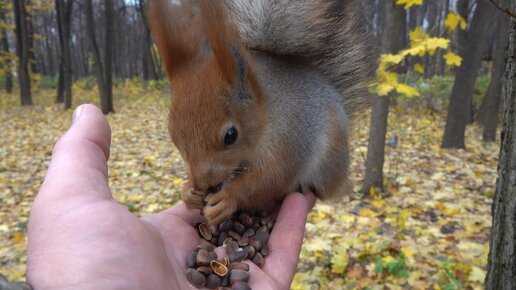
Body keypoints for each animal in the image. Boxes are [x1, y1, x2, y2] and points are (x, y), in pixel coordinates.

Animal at [147, 0, 376, 224]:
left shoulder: (292, 137)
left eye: (231, 136)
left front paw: (228, 197)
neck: (266, 112)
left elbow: (273, 177)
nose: (201, 183)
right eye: (173, 135)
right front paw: (189, 192)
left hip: (330, 158)